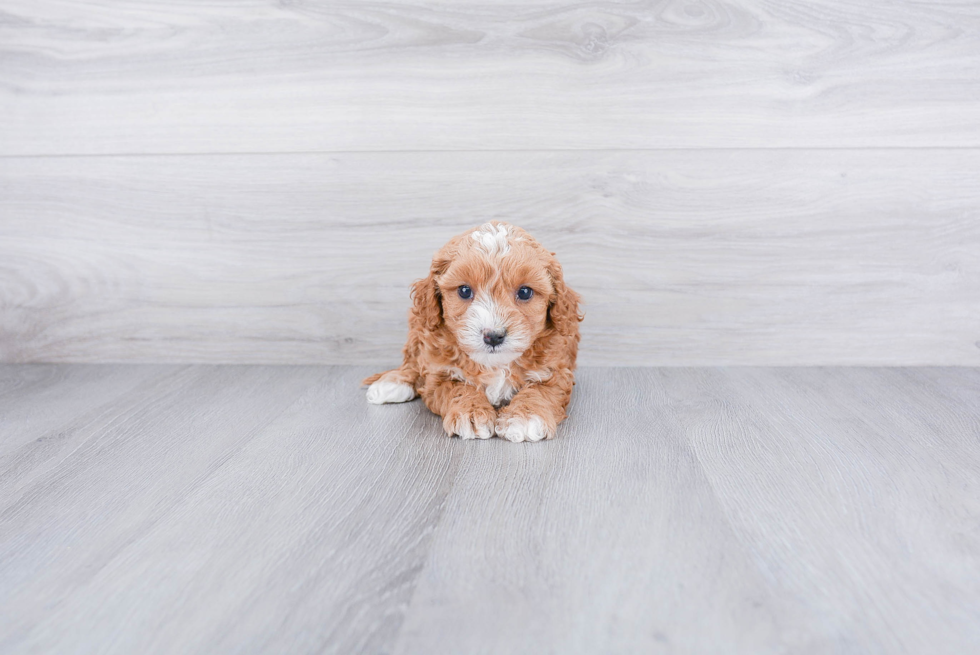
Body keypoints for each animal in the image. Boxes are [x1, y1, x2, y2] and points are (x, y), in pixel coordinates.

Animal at [366, 223, 580, 444]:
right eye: (464, 291)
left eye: (525, 292)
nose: (493, 336)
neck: (495, 364)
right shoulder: (440, 374)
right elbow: (458, 388)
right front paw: (470, 414)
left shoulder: (556, 372)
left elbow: (541, 391)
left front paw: (526, 417)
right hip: (418, 328)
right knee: (412, 361)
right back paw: (393, 383)